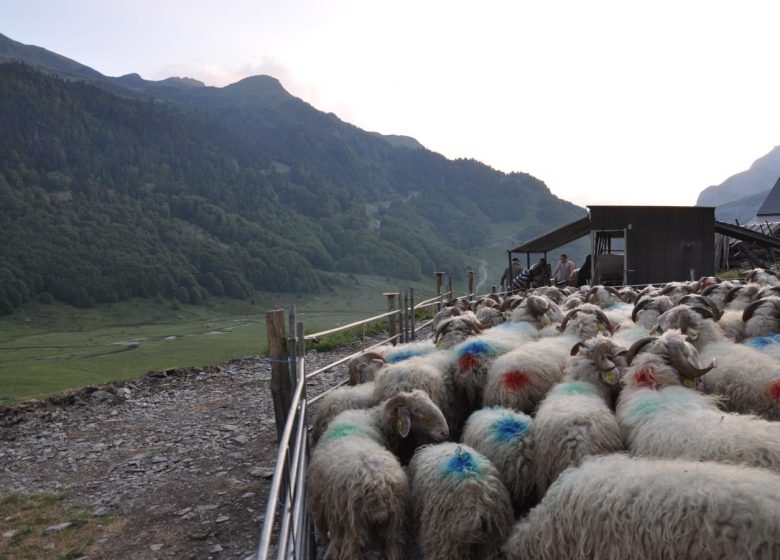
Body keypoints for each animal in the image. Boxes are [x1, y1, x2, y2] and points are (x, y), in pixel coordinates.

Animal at [308, 390, 448, 560]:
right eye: (416, 411)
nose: (445, 432)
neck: (374, 419)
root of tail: (376, 488)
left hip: (366, 527)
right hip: (390, 524)